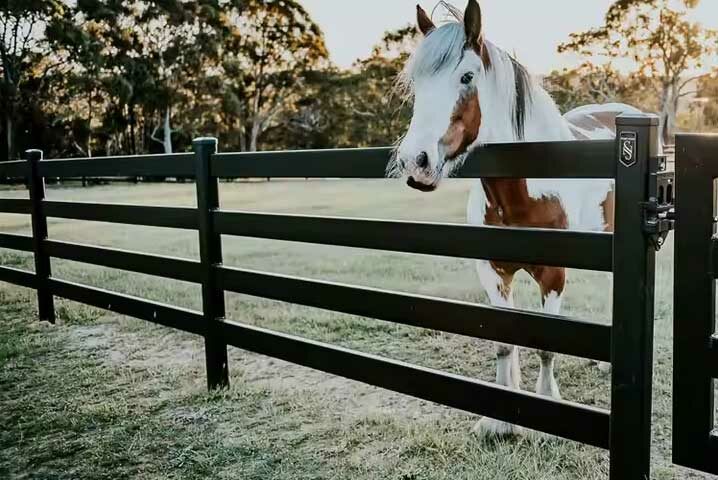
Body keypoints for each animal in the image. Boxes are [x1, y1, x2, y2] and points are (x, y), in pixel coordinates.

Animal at [390, 0, 643, 437]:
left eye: (466, 77)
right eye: (417, 85)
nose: (415, 161)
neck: (523, 191)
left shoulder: (554, 274)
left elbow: (546, 344)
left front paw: (543, 417)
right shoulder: (492, 274)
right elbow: (504, 343)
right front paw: (498, 419)